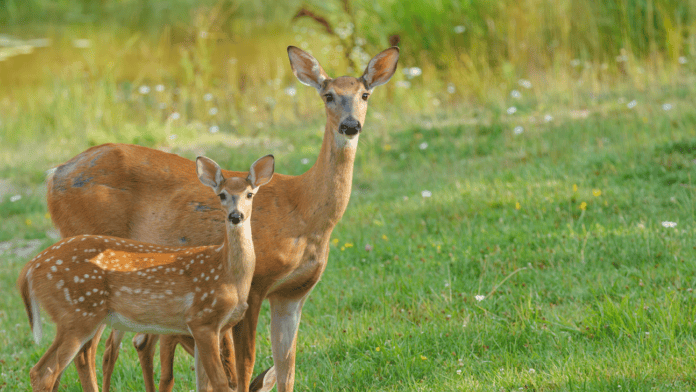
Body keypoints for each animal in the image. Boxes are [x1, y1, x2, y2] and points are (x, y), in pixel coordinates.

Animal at [19, 155, 274, 390]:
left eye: (250, 194)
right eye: (221, 195)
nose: (235, 216)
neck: (228, 275)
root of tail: (29, 268)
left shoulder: (213, 328)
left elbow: (204, 384)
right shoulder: (202, 320)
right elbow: (219, 383)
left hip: (72, 318)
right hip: (78, 314)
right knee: (47, 370)